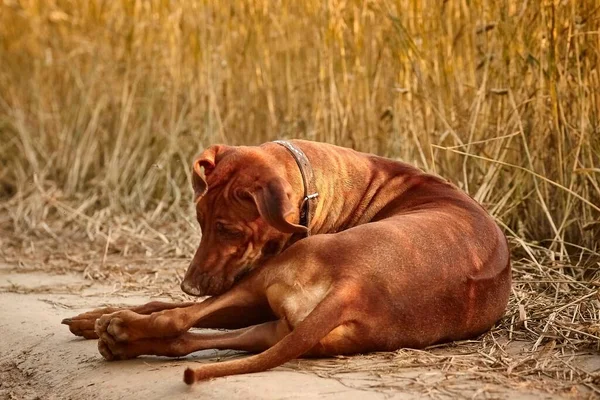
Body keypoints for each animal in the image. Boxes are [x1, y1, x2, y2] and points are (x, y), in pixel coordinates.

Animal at [62, 140, 510, 384]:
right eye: (200, 221)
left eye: (229, 230)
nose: (190, 285)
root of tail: (357, 288)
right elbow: (165, 303)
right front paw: (91, 317)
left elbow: (169, 306)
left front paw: (105, 315)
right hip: (275, 328)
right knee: (185, 337)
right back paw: (118, 337)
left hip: (262, 286)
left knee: (178, 321)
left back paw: (120, 329)